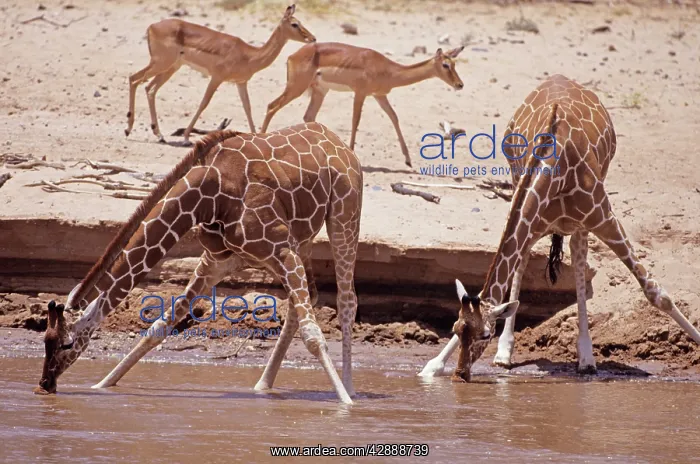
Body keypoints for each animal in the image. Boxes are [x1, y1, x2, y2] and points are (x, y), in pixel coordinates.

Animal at [34, 122, 363, 404]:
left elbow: (313, 335)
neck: (211, 194)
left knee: (346, 301)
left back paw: (348, 389)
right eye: (44, 340)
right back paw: (262, 385)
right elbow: (160, 326)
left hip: (343, 216)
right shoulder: (218, 262)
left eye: (65, 343)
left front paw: (345, 407)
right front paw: (101, 385)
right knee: (308, 299)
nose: (44, 384)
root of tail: (338, 142)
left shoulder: (281, 249)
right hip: (301, 241)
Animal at [419, 74, 700, 381]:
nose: (460, 374)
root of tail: (560, 78)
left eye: (484, 335)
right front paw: (434, 365)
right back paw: (508, 352)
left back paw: (586, 356)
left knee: (578, 254)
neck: (557, 169)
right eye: (456, 329)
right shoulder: (531, 219)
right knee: (530, 259)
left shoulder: (604, 216)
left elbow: (657, 293)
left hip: (586, 212)